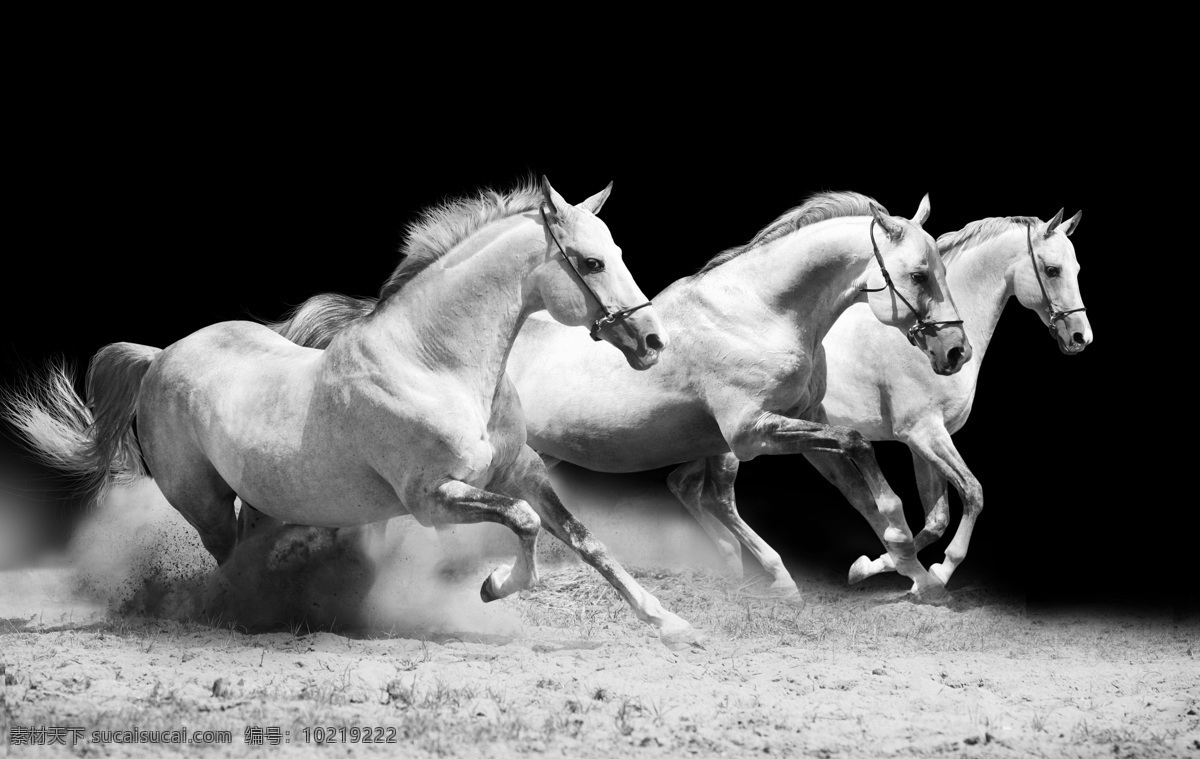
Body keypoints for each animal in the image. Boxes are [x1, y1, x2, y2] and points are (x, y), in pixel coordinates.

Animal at [4, 176, 700, 648]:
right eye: (591, 261)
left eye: (617, 251)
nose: (653, 342)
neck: (433, 363)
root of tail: (161, 356)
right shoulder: (433, 497)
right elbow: (526, 524)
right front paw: (492, 587)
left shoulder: (520, 473)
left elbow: (586, 541)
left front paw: (672, 624)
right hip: (203, 503)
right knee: (228, 561)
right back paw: (251, 615)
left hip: (263, 499)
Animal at [267, 192, 969, 602]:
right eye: (918, 274)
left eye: (940, 267)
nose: (955, 351)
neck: (760, 311)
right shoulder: (752, 432)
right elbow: (859, 457)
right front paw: (901, 561)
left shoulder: (794, 425)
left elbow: (868, 483)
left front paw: (906, 568)